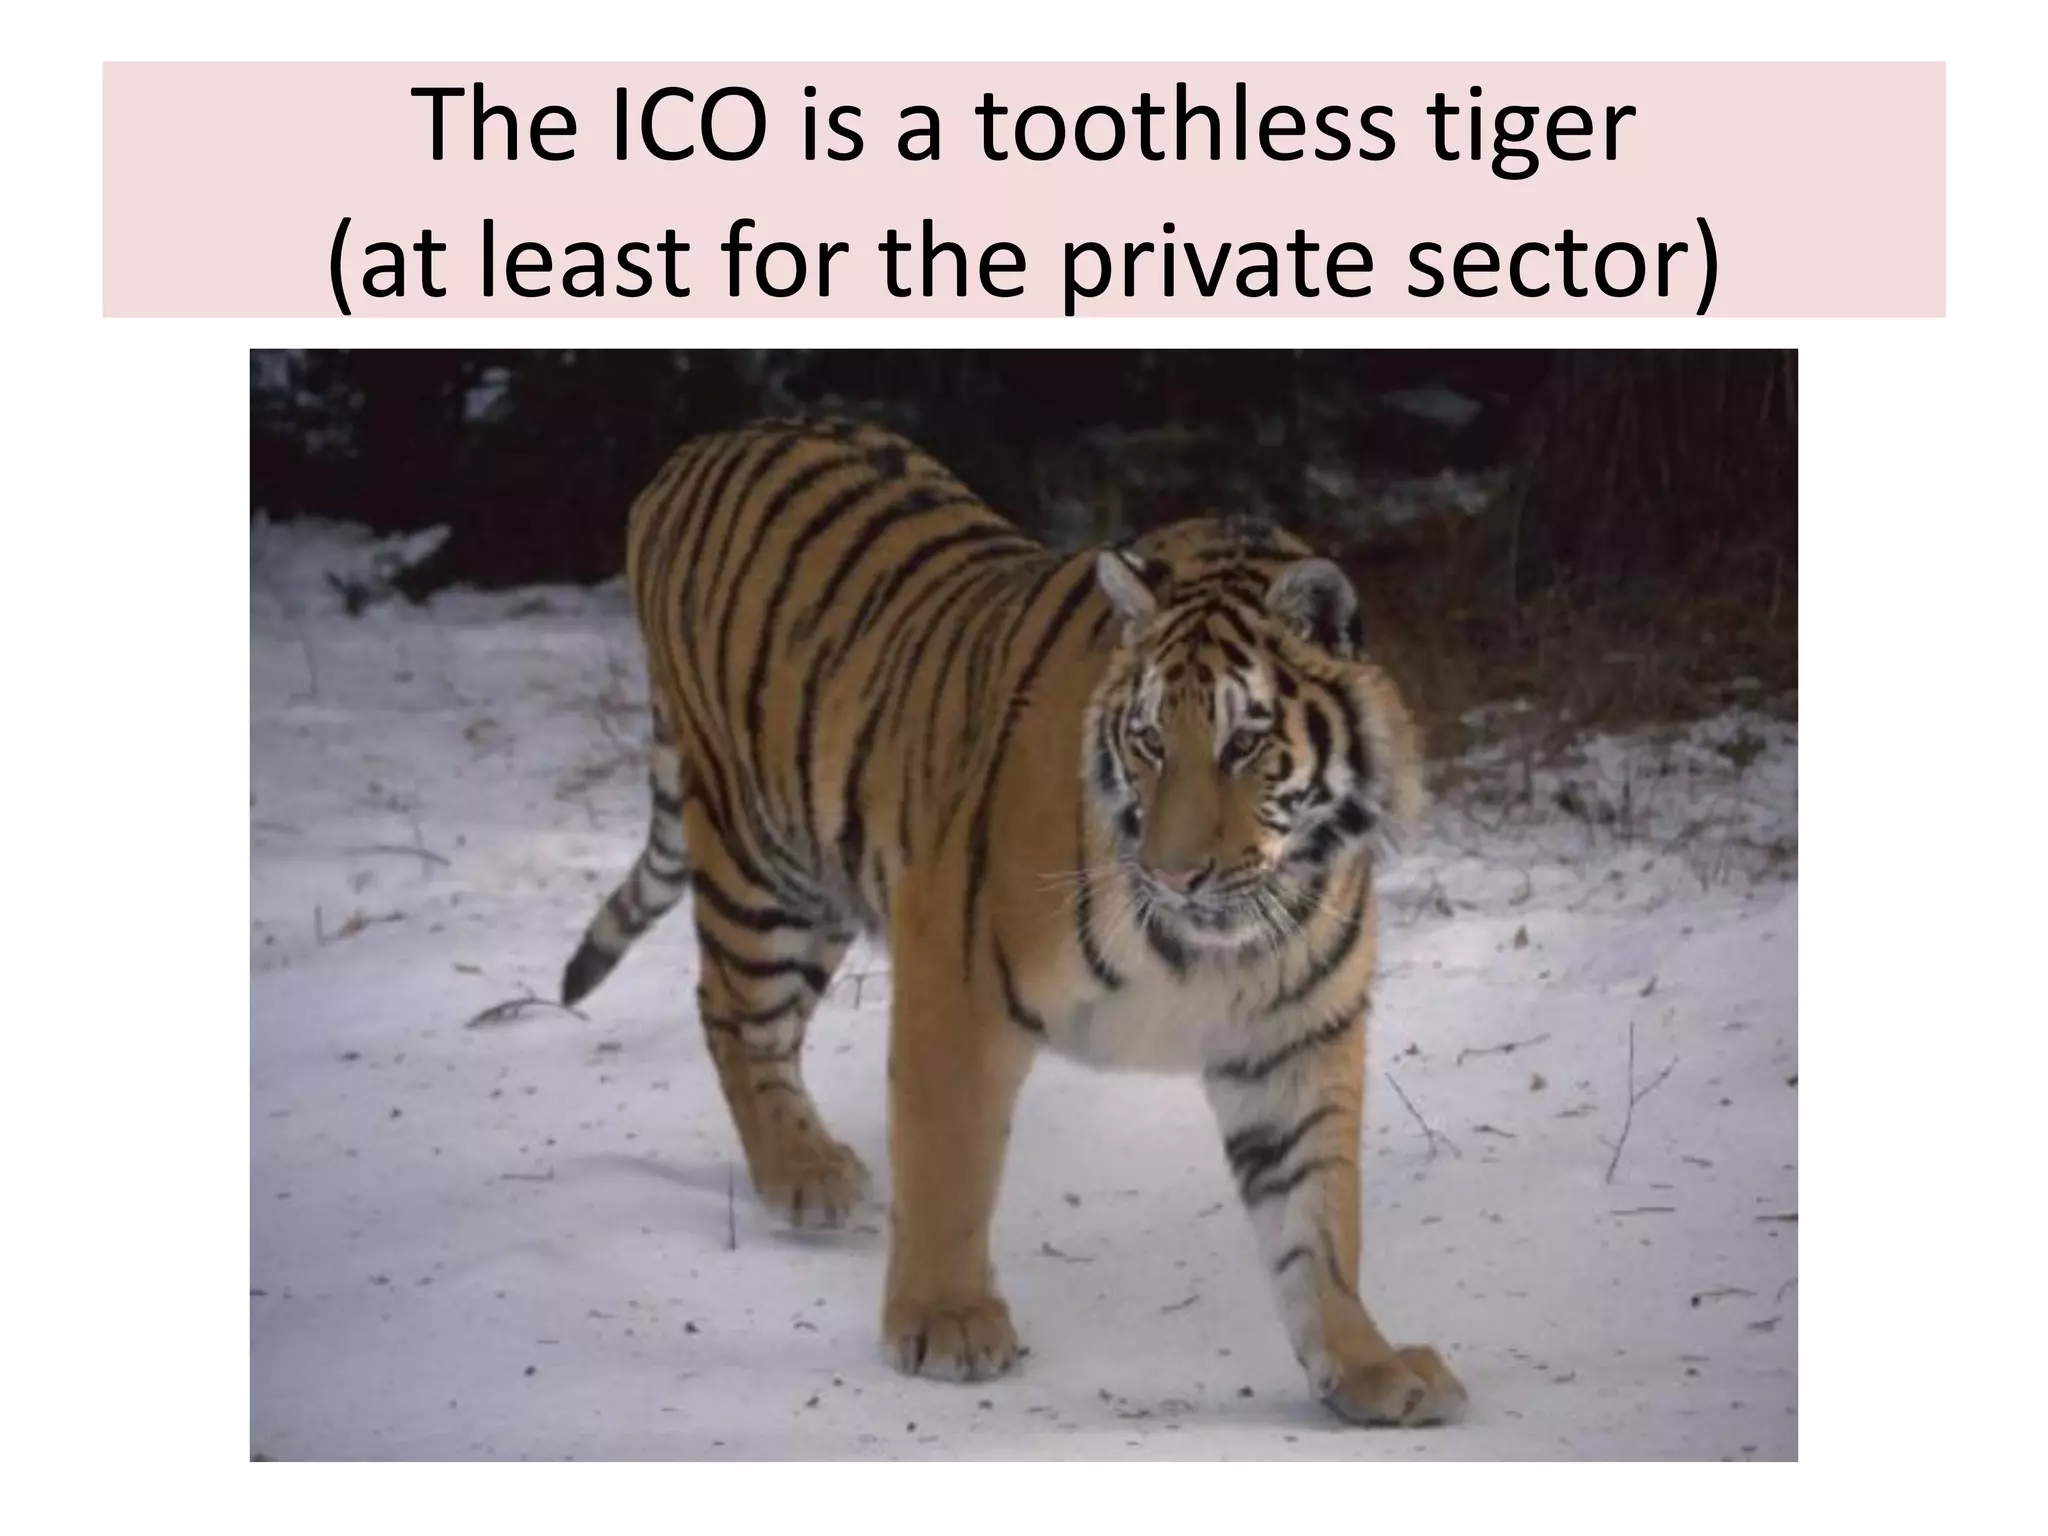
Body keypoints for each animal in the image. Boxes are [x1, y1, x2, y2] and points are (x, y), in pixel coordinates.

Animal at [560, 417, 1465, 1426]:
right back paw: (806, 1174)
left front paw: (1366, 1364)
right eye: (1149, 741)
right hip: (761, 858)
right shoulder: (953, 965)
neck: (1221, 938)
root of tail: (704, 447)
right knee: (732, 1012)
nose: (1175, 873)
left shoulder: (1295, 1037)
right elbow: (947, 1157)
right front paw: (946, 1321)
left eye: (1244, 742)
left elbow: (1318, 1216)